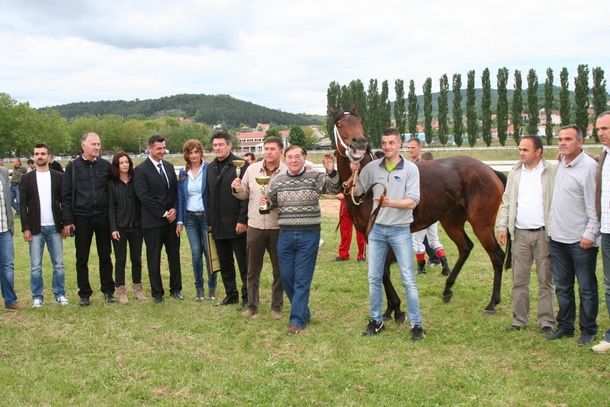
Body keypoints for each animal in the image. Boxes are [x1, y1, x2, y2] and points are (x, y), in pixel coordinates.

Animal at [330, 107, 506, 319]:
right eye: (340, 124)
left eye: (359, 121)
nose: (360, 144)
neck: (367, 185)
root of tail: (490, 170)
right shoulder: (370, 234)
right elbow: (382, 270)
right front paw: (390, 309)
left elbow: (384, 270)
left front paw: (396, 308)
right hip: (452, 222)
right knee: (465, 247)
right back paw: (447, 289)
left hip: (481, 223)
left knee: (497, 256)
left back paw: (492, 303)